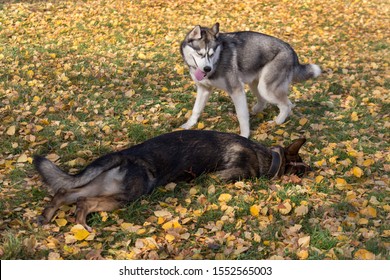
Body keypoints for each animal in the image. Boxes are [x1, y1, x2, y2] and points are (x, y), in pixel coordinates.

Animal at [34, 129, 310, 230]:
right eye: (300, 171)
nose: (312, 170)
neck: (268, 157)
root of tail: (125, 154)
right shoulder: (223, 177)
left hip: (101, 185)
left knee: (65, 194)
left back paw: (48, 218)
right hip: (129, 195)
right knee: (84, 202)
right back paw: (83, 226)